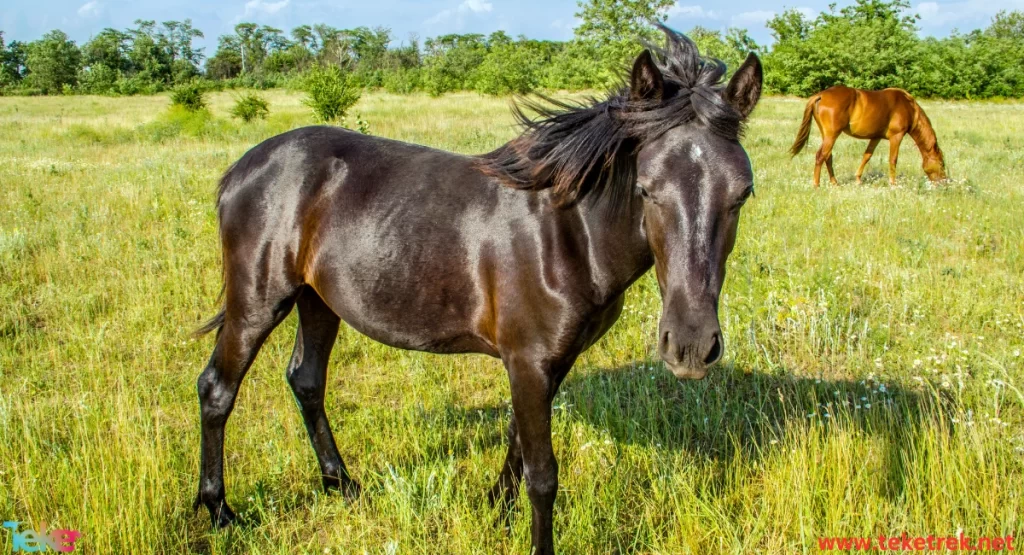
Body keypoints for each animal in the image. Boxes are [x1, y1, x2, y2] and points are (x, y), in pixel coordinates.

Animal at [192, 27, 765, 555]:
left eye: (742, 194)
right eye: (646, 189)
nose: (690, 345)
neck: (568, 232)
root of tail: (245, 167)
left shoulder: (548, 361)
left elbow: (516, 444)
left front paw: (496, 511)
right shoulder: (529, 360)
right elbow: (543, 474)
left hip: (317, 300)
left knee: (307, 381)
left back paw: (342, 484)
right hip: (258, 302)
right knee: (217, 389)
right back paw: (218, 510)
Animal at [786, 85, 946, 187]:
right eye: (941, 164)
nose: (944, 182)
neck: (909, 107)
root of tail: (820, 95)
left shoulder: (876, 137)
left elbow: (867, 156)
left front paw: (858, 179)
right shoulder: (897, 136)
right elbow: (893, 159)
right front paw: (893, 183)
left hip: (826, 135)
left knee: (827, 156)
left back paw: (834, 182)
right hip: (831, 135)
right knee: (821, 156)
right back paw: (816, 184)